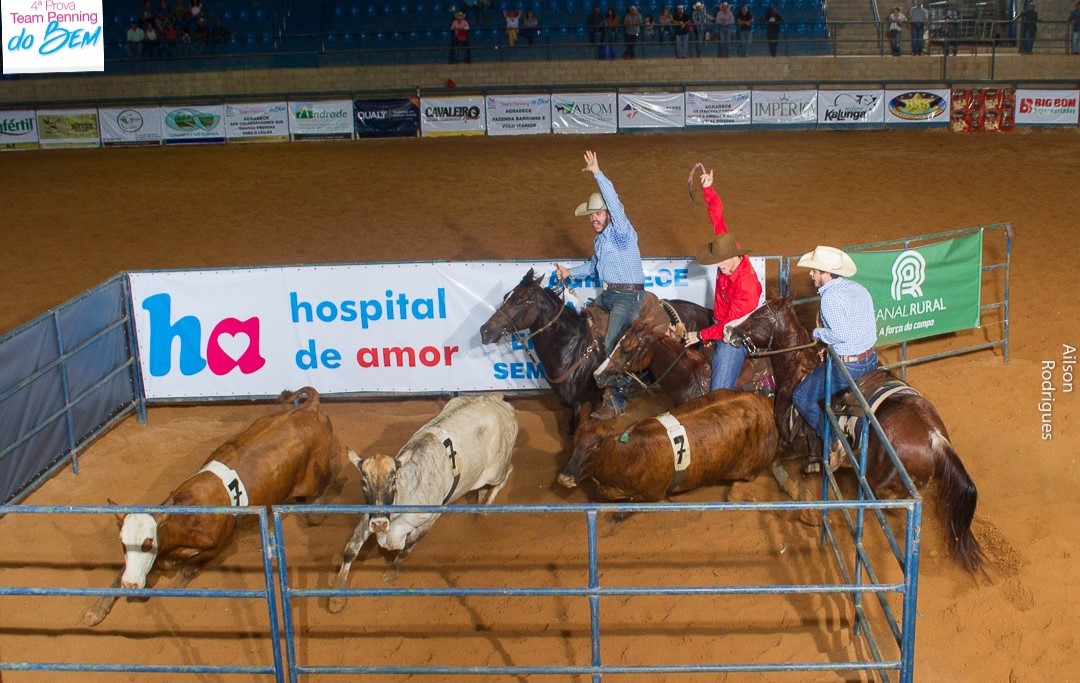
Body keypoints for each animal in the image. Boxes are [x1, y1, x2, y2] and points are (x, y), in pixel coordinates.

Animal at [80, 386, 341, 626]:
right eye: (123, 543)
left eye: (148, 543)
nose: (131, 584)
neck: (185, 521)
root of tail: (308, 409)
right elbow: (118, 573)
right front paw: (95, 610)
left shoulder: (220, 544)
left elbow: (189, 568)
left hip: (314, 478)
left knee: (329, 479)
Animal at [326, 391, 516, 618]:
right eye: (364, 482)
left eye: (393, 480)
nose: (380, 524)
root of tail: (495, 398)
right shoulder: (369, 515)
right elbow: (351, 549)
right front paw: (337, 597)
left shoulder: (429, 519)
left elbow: (407, 547)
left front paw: (390, 575)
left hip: (497, 469)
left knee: (506, 474)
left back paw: (484, 509)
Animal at [479, 268, 712, 432]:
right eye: (506, 297)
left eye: (519, 302)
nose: (485, 331)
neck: (572, 346)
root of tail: (706, 311)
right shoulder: (566, 405)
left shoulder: (582, 403)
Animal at [561, 389, 781, 501]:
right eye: (575, 440)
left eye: (596, 446)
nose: (565, 477)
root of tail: (762, 400)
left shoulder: (652, 495)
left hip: (750, 469)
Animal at [725, 298, 989, 570]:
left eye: (758, 316)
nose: (728, 331)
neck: (797, 370)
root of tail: (933, 436)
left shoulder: (793, 442)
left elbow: (773, 462)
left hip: (882, 484)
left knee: (892, 507)